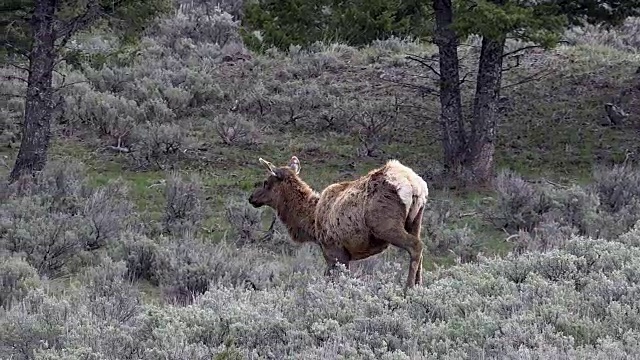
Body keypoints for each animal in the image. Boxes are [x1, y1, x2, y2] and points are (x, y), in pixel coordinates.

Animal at [248, 155, 428, 290]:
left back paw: (408, 288)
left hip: (385, 225)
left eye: (265, 182)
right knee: (420, 247)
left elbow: (333, 280)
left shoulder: (334, 251)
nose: (251, 197)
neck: (312, 223)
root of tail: (414, 185)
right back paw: (419, 286)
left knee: (415, 246)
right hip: (416, 221)